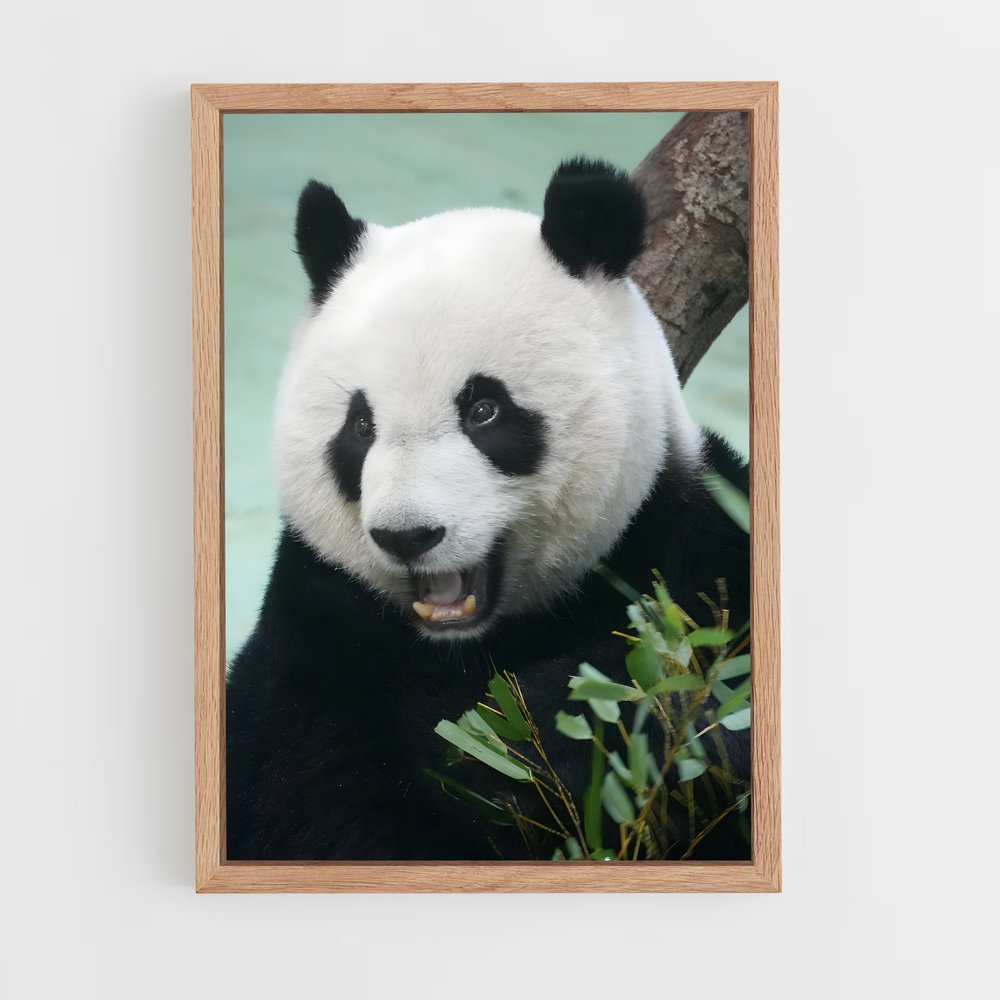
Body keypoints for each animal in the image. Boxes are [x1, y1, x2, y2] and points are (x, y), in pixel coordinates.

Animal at [226, 158, 750, 862]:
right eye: (360, 426)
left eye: (484, 410)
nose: (408, 535)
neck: (469, 643)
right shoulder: (319, 630)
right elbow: (308, 795)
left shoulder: (690, 547)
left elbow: (687, 693)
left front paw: (526, 733)